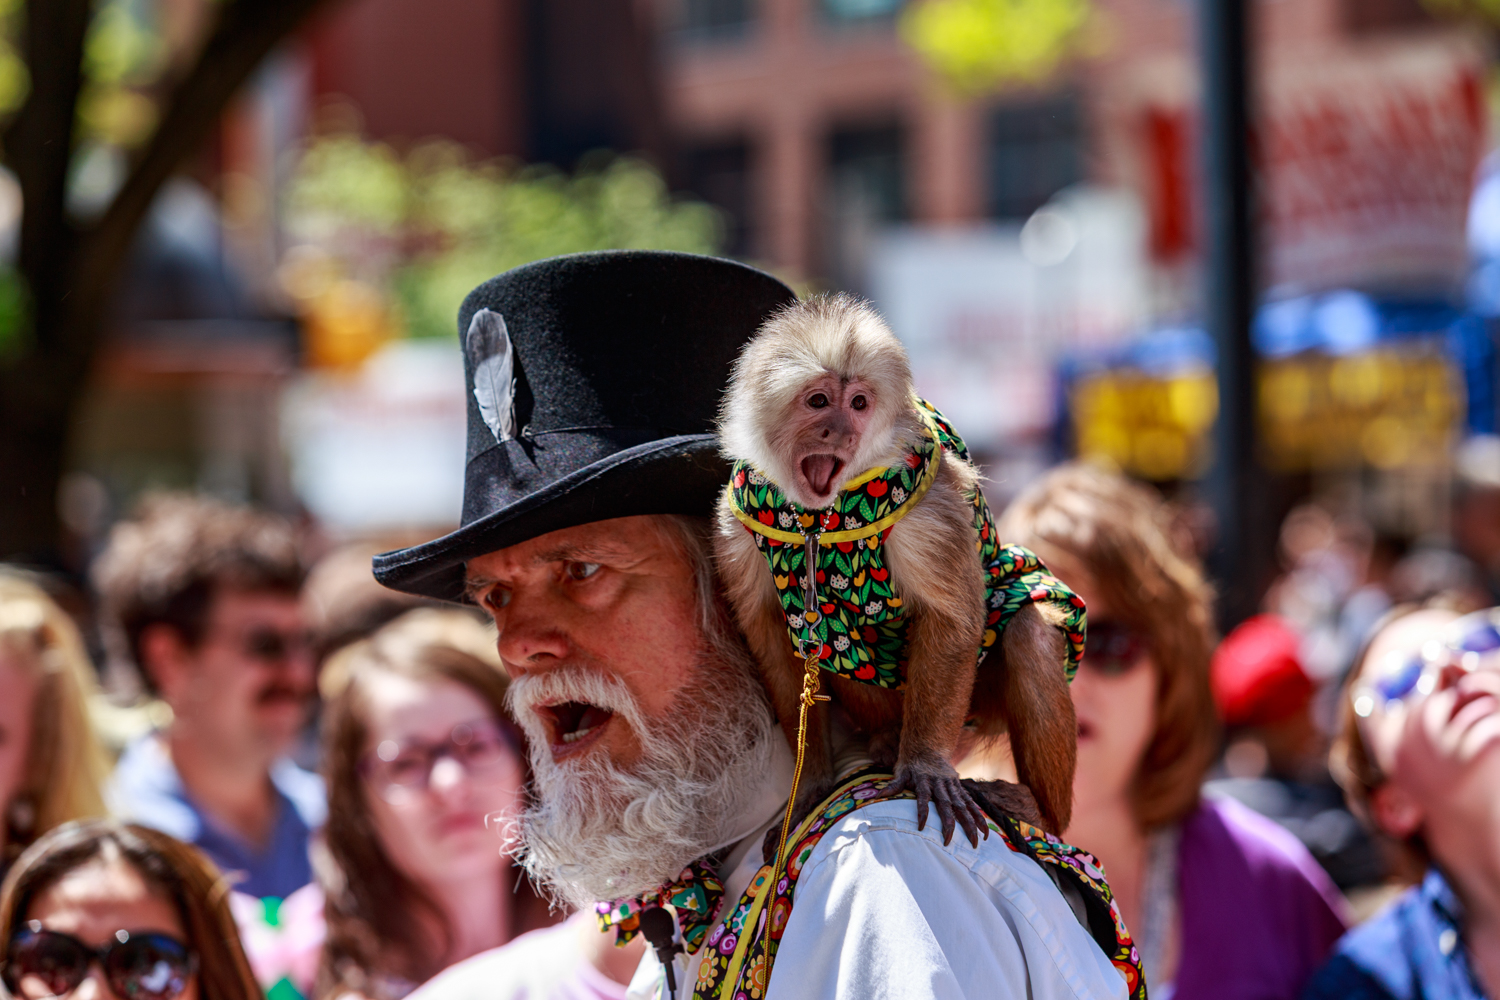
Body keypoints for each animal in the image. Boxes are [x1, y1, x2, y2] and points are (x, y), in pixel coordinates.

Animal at [713, 294, 1080, 853]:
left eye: (860, 404)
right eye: (818, 401)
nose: (842, 432)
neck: (818, 521)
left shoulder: (924, 512)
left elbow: (952, 617)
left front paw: (925, 766)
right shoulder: (736, 525)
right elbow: (771, 634)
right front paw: (812, 780)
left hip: (973, 704)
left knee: (1025, 631)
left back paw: (1040, 811)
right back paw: (886, 739)